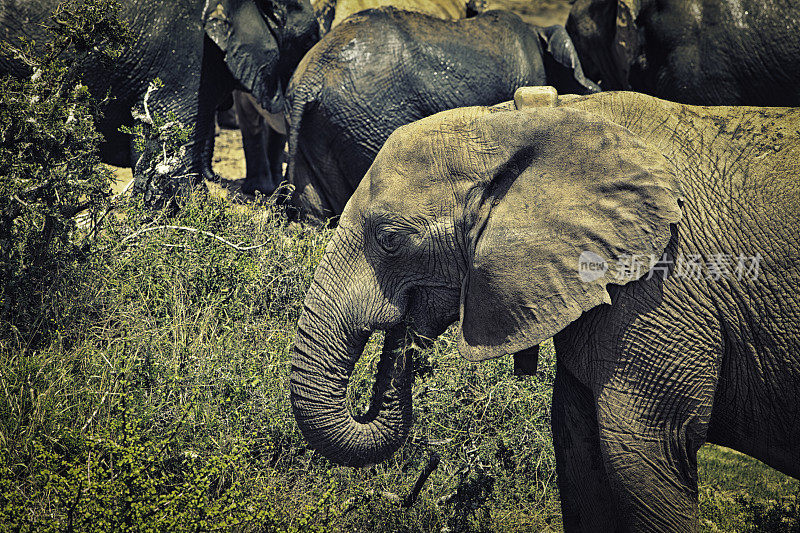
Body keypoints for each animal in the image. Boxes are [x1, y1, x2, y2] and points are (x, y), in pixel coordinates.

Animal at [290, 87, 800, 528]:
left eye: (390, 240)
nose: (432, 457)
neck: (529, 118)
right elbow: (576, 449)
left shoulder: (661, 286)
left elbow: (642, 451)